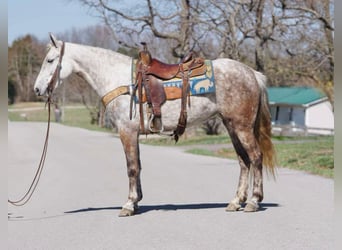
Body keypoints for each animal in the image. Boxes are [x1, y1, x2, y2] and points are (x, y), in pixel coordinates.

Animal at [34, 33, 276, 217]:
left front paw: (128, 205)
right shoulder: (133, 133)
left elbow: (131, 167)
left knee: (255, 157)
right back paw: (235, 201)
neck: (120, 80)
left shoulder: (127, 131)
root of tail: (251, 73)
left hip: (242, 126)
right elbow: (138, 166)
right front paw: (137, 201)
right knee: (243, 161)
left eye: (50, 60)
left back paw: (253, 202)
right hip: (231, 125)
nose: (37, 89)